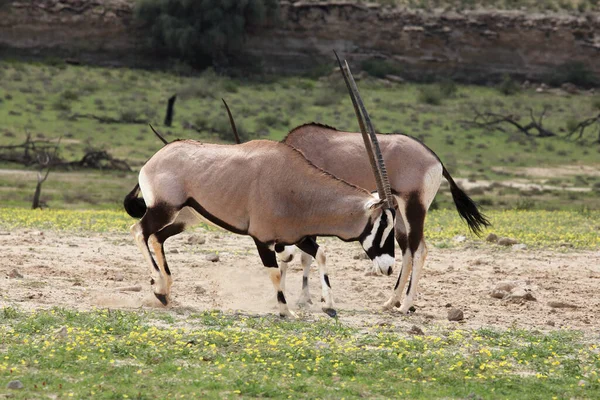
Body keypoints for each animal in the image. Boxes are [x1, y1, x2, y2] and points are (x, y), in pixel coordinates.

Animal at [123, 57, 396, 318]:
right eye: (383, 224)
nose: (390, 267)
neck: (299, 189)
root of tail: (154, 159)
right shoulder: (263, 239)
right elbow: (274, 272)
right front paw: (287, 311)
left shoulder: (297, 237)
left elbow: (321, 254)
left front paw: (328, 306)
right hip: (165, 209)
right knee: (139, 231)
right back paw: (159, 286)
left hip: (184, 217)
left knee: (157, 237)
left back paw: (164, 291)